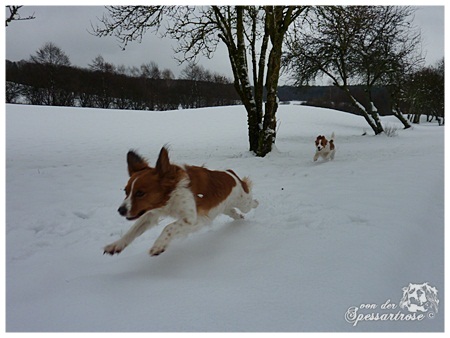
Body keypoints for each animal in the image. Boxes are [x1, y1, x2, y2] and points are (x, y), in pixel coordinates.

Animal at [102, 147, 256, 256]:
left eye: (140, 193)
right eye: (126, 191)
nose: (121, 210)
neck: (171, 195)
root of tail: (230, 173)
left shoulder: (192, 219)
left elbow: (168, 227)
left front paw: (158, 245)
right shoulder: (151, 214)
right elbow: (133, 230)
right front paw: (116, 245)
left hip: (243, 202)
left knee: (251, 202)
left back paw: (255, 203)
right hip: (224, 207)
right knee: (234, 212)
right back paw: (240, 218)